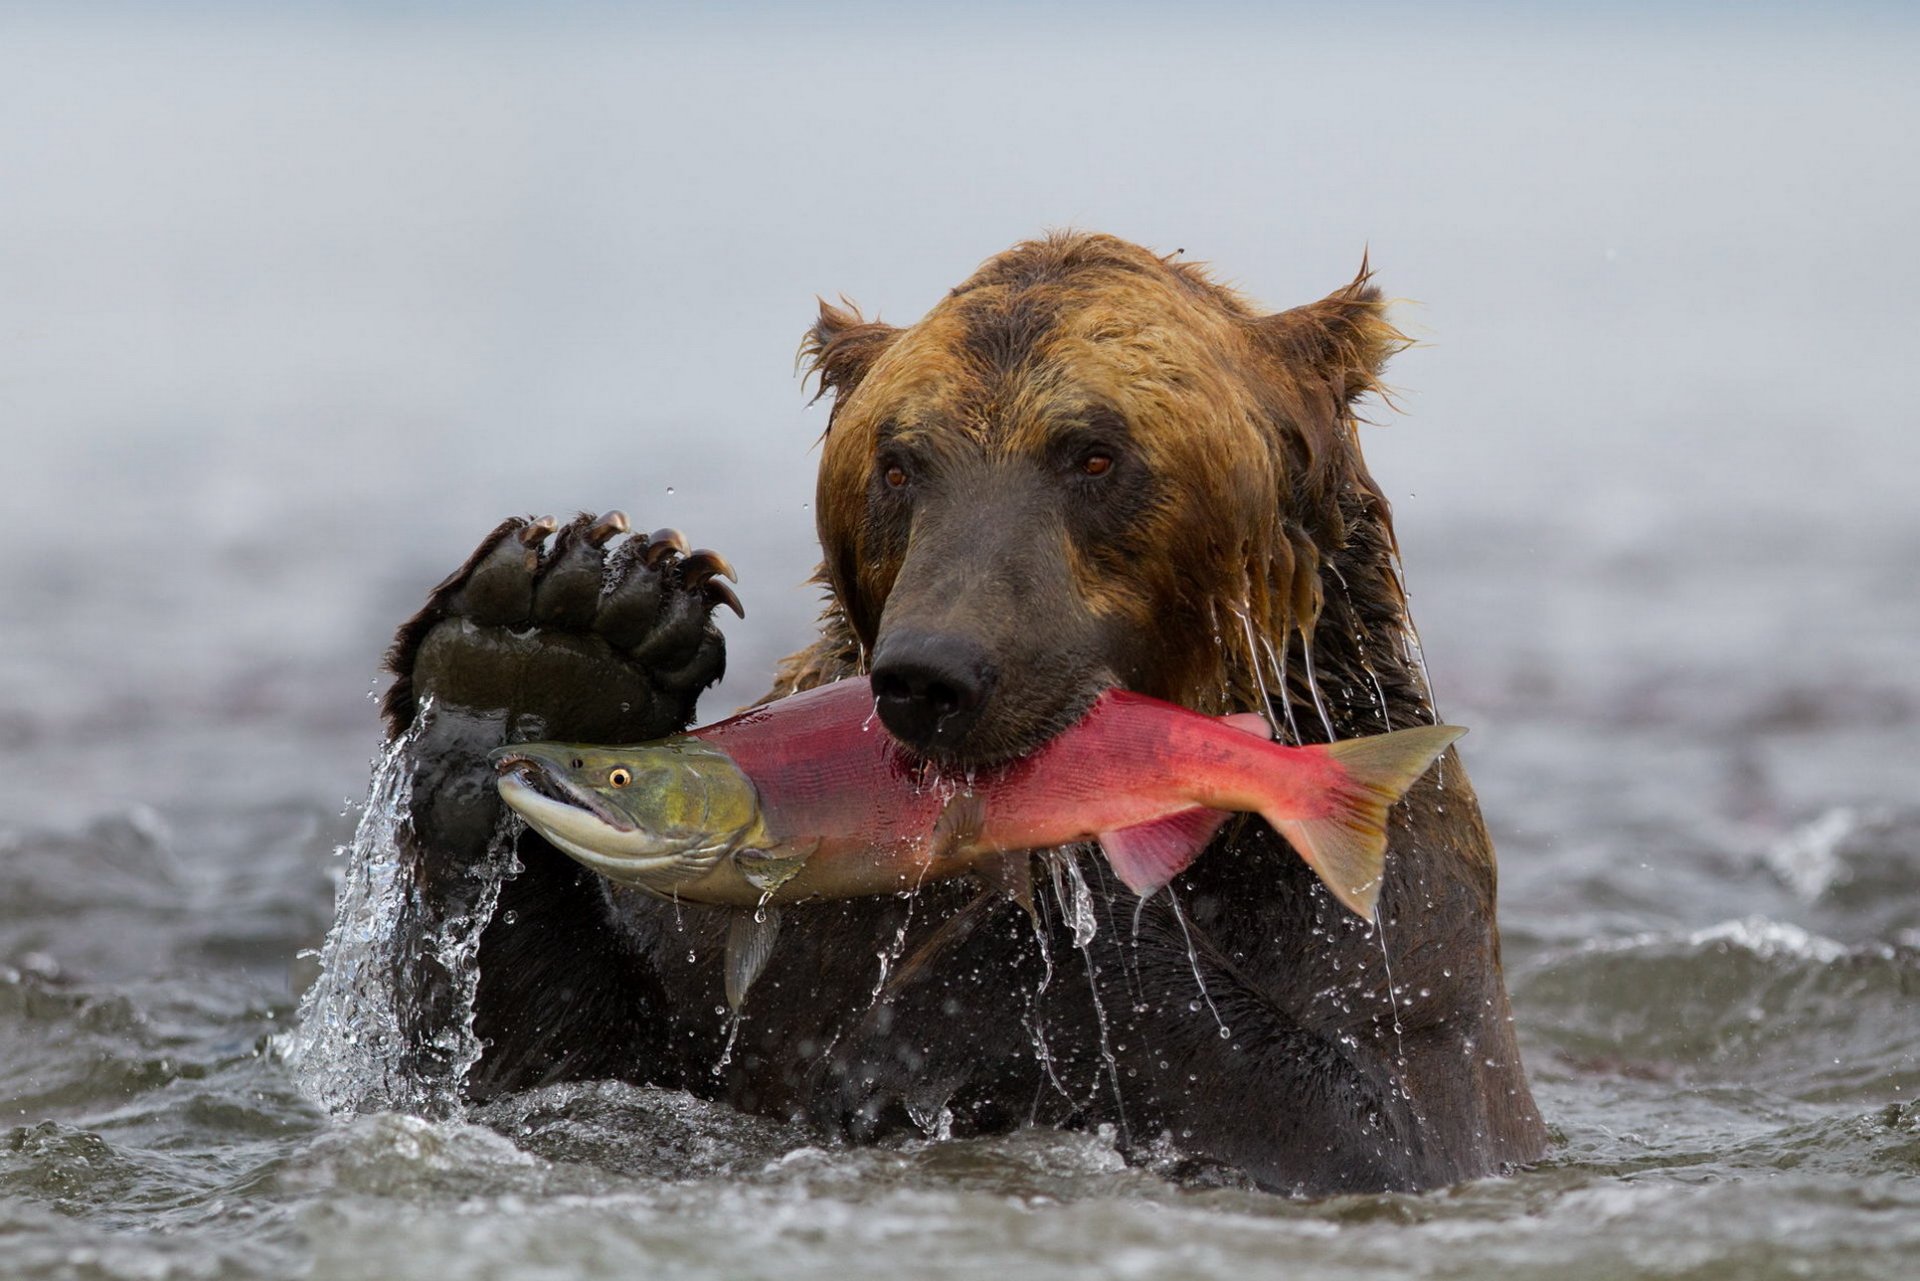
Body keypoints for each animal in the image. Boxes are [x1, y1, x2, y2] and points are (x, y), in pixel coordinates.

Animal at [382, 233, 1551, 1206]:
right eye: (900, 463)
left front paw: (931, 1020)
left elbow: (1380, 1122)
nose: (932, 673)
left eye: (1095, 453)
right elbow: (548, 1068)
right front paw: (556, 636)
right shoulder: (760, 949)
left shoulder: (1382, 922)